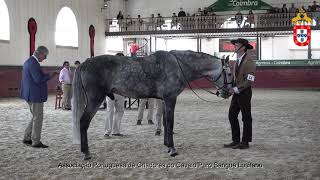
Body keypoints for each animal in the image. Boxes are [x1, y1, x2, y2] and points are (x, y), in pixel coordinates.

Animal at [72, 50, 232, 160]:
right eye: (230, 74)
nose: (228, 92)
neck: (177, 66)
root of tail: (84, 64)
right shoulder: (170, 99)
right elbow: (170, 123)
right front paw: (173, 149)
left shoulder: (165, 100)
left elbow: (166, 123)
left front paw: (167, 146)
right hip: (95, 100)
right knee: (83, 122)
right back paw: (86, 153)